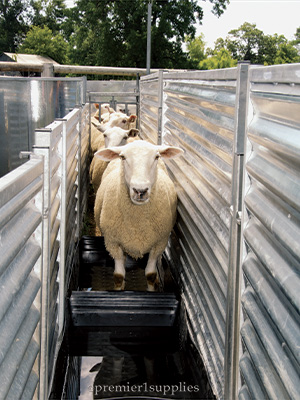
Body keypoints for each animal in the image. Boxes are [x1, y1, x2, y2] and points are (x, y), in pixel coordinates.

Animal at [94, 140, 183, 290]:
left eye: (157, 157)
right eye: (123, 157)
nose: (140, 191)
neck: (137, 221)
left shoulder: (159, 242)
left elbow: (151, 275)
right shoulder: (112, 242)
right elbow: (118, 276)